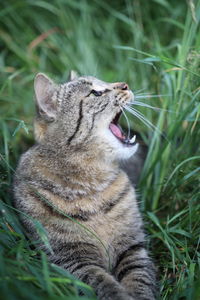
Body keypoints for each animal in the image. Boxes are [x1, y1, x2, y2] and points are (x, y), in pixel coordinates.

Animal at [13, 72, 157, 300]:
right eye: (96, 93)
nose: (125, 84)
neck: (92, 183)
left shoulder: (132, 246)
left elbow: (139, 277)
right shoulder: (71, 259)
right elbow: (104, 284)